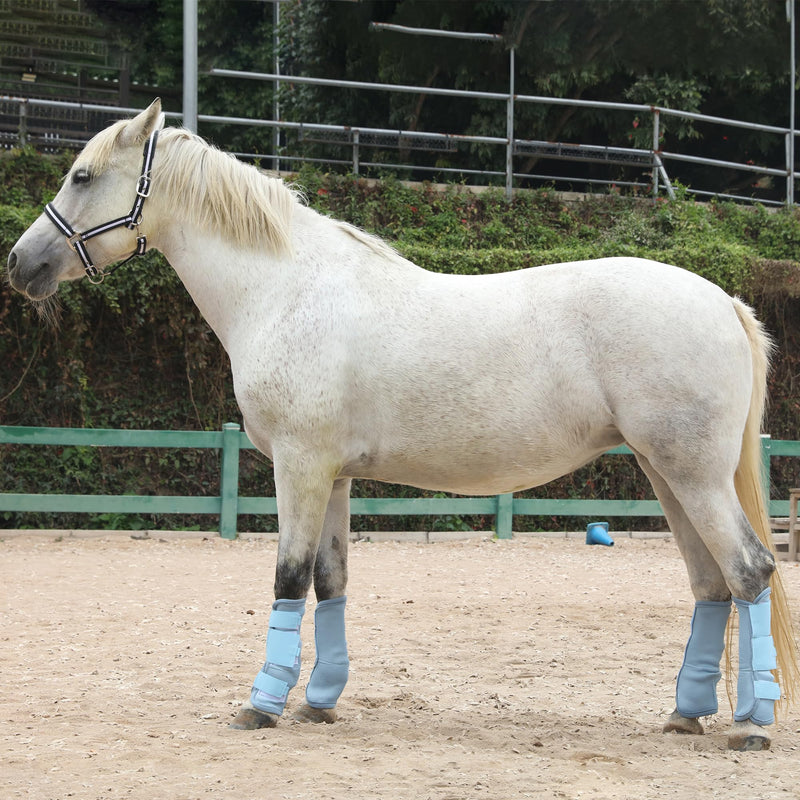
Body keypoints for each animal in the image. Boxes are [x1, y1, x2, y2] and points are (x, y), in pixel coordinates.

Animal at [7, 100, 798, 751]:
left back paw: (751, 725)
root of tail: (723, 300)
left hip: (692, 476)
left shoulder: (298, 466)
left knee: (750, 571)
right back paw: (687, 714)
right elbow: (330, 579)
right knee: (712, 583)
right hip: (666, 474)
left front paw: (262, 705)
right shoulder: (331, 476)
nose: (20, 262)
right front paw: (319, 702)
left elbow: (289, 576)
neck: (285, 290)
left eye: (82, 176)